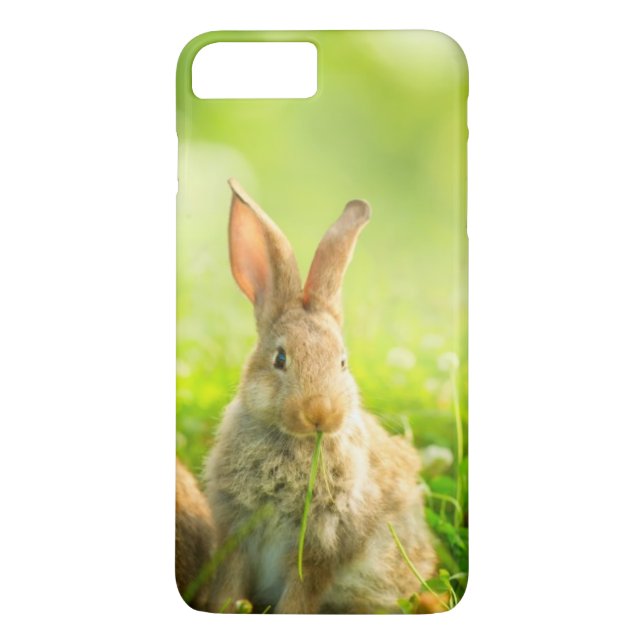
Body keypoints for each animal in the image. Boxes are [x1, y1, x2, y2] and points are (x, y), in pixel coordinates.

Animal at [204, 178, 436, 614]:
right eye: (280, 359)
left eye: (342, 362)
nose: (321, 413)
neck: (295, 444)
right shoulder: (236, 530)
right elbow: (229, 583)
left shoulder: (321, 549)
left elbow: (300, 597)